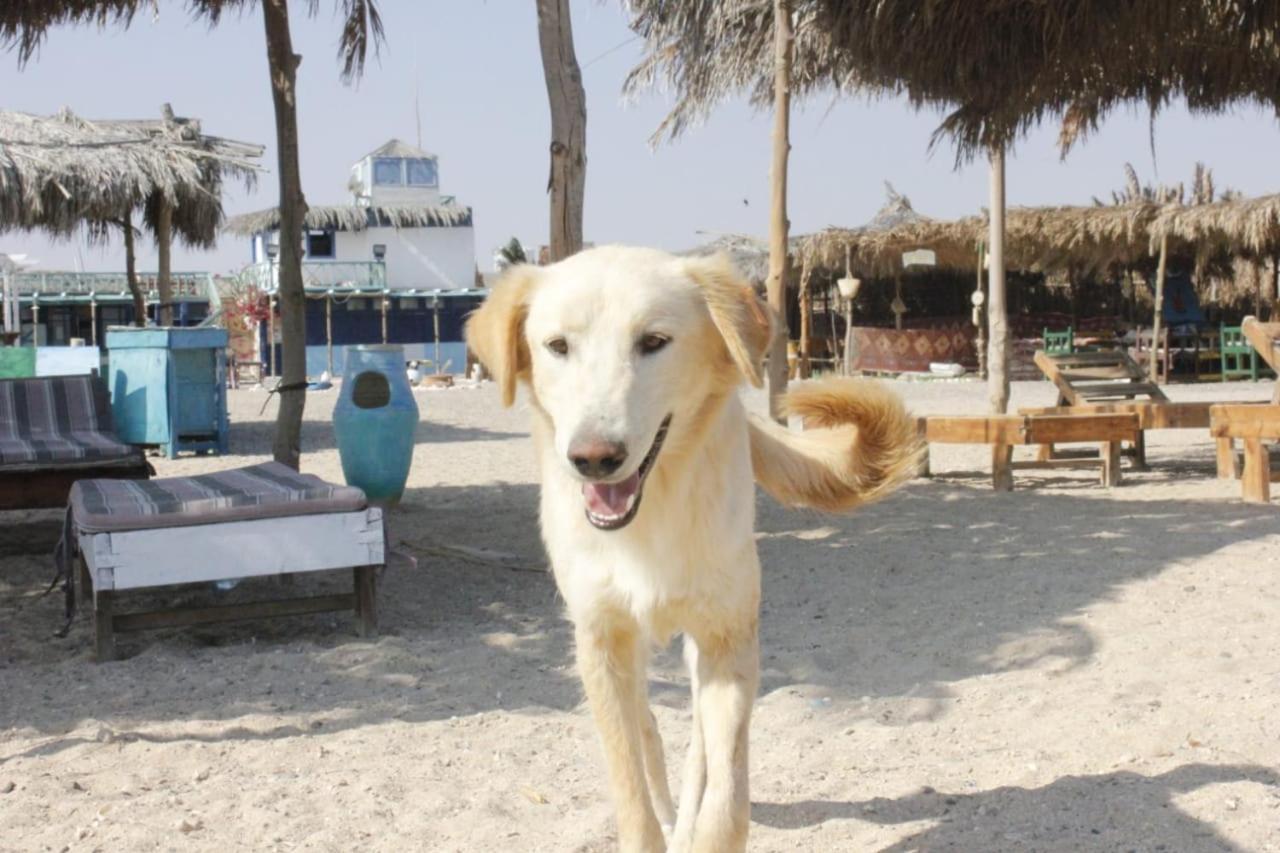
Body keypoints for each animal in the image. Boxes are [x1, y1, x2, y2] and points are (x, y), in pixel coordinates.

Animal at [468, 242, 921, 845]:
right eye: (558, 346)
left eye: (653, 342)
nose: (593, 458)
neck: (650, 522)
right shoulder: (601, 641)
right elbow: (631, 786)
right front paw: (650, 822)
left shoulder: (727, 638)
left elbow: (726, 793)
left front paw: (702, 830)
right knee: (647, 728)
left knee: (700, 746)